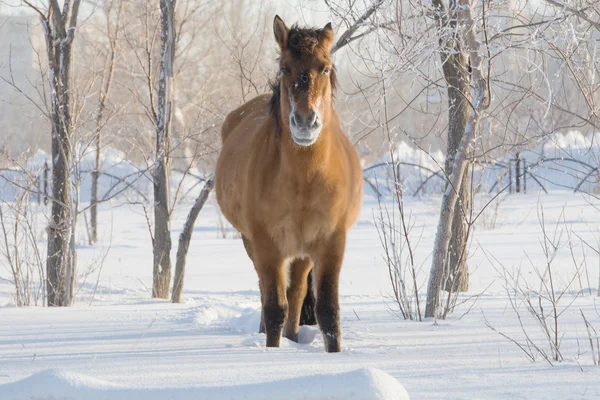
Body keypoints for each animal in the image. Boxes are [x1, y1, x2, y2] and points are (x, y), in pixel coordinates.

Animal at [217, 14, 366, 354]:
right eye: (285, 68)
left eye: (324, 67)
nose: (305, 122)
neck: (305, 180)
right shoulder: (266, 244)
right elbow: (274, 308)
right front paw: (273, 352)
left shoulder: (330, 243)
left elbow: (328, 312)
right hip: (256, 244)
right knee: (270, 293)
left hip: (302, 252)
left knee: (297, 293)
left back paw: (295, 337)